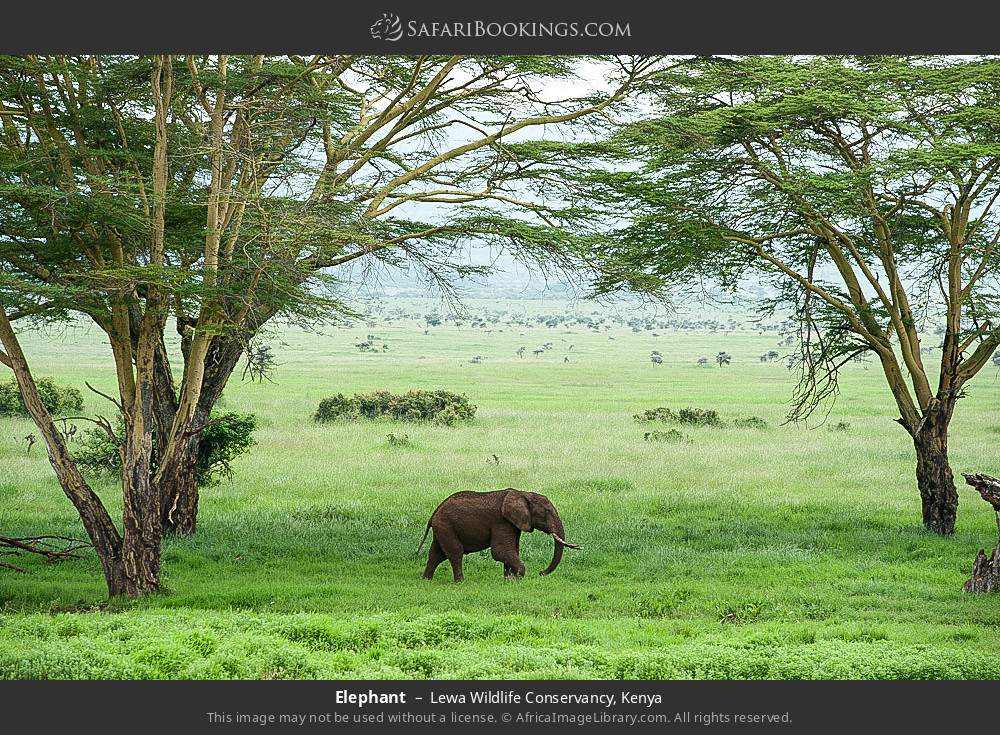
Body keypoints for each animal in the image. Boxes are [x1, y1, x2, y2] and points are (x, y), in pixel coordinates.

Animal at [417, 487, 581, 582]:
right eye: (546, 512)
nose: (541, 573)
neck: (523, 493)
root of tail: (434, 513)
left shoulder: (513, 523)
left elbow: (511, 550)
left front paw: (509, 579)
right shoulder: (501, 521)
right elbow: (500, 551)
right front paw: (517, 578)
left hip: (442, 527)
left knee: (436, 554)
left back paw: (426, 580)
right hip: (446, 525)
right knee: (455, 552)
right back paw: (460, 582)